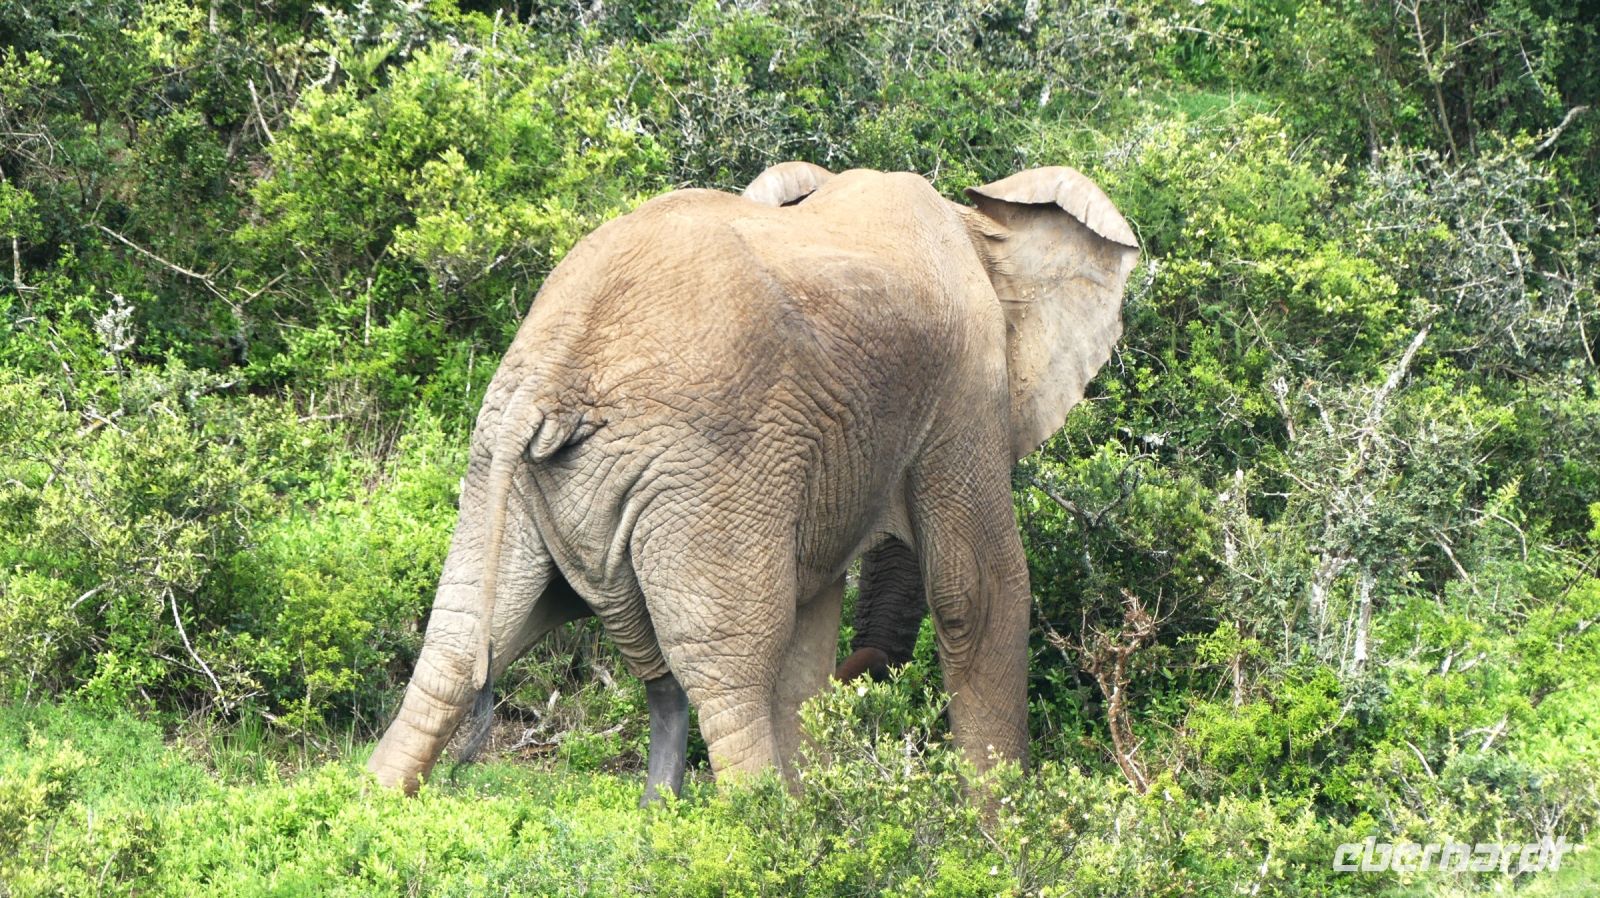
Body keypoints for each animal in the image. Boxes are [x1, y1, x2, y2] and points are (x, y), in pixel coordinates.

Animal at [365, 161, 1140, 802]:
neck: (976, 226)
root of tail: (555, 372)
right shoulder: (966, 389)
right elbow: (978, 592)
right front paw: (997, 842)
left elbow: (814, 625)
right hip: (702, 476)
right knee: (730, 670)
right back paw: (762, 834)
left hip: (508, 464)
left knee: (461, 642)